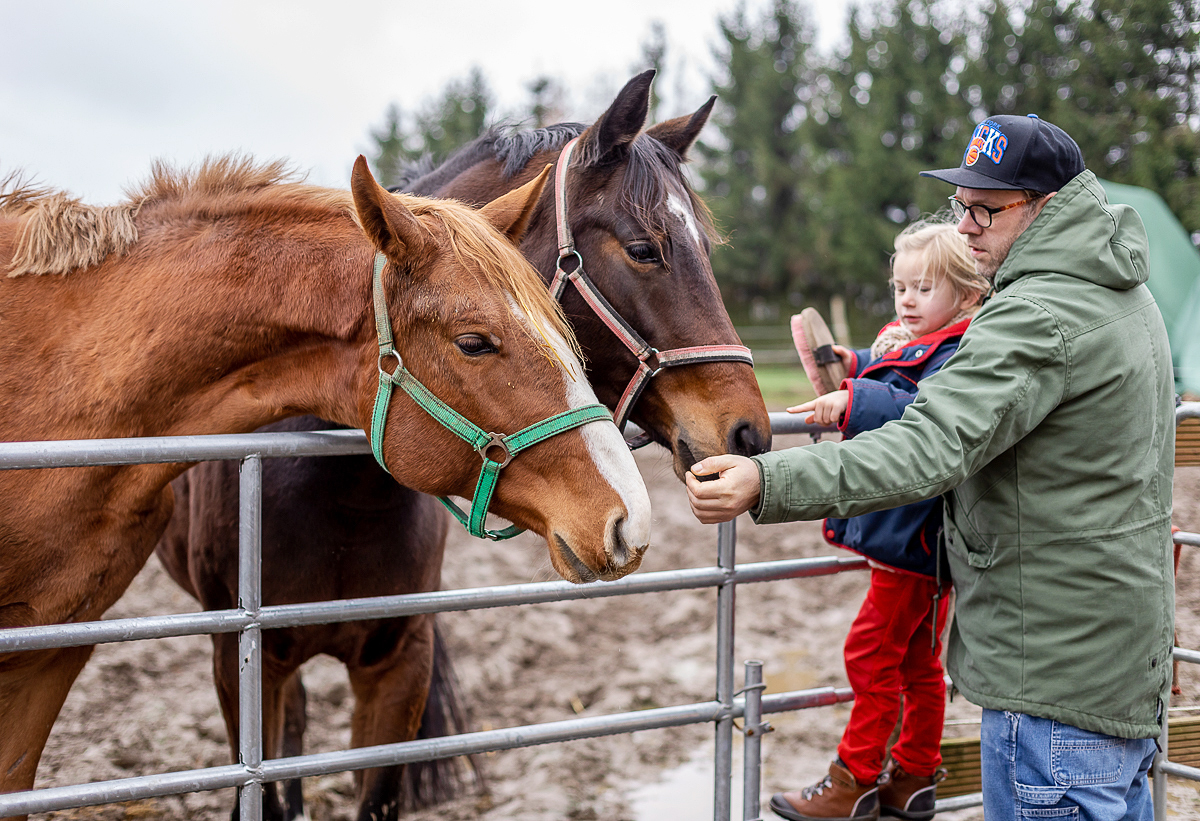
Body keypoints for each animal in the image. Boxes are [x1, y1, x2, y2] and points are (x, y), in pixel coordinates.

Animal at [154, 69, 768, 820]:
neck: (331, 490)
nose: (748, 432)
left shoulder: (400, 662)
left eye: (705, 249)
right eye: (644, 247)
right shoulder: (243, 665)